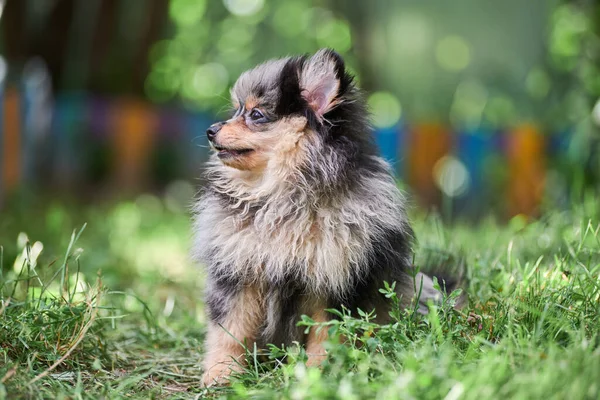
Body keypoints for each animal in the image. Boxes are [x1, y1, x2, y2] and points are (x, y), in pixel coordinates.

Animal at [192, 48, 460, 386]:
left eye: (256, 115)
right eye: (237, 109)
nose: (210, 130)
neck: (285, 195)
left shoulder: (333, 279)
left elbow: (326, 333)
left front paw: (320, 371)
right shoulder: (239, 273)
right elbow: (229, 330)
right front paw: (221, 372)